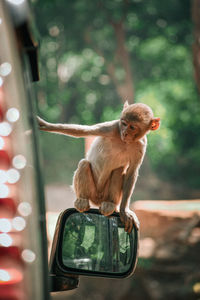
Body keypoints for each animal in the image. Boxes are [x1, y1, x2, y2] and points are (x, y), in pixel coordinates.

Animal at [37, 102, 160, 233]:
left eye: (132, 127)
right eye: (124, 123)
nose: (125, 133)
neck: (125, 142)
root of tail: (98, 199)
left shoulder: (141, 145)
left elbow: (132, 172)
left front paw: (124, 211)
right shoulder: (112, 127)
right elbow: (82, 131)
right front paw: (44, 125)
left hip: (107, 195)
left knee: (118, 170)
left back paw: (110, 204)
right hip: (90, 191)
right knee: (84, 164)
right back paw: (82, 200)